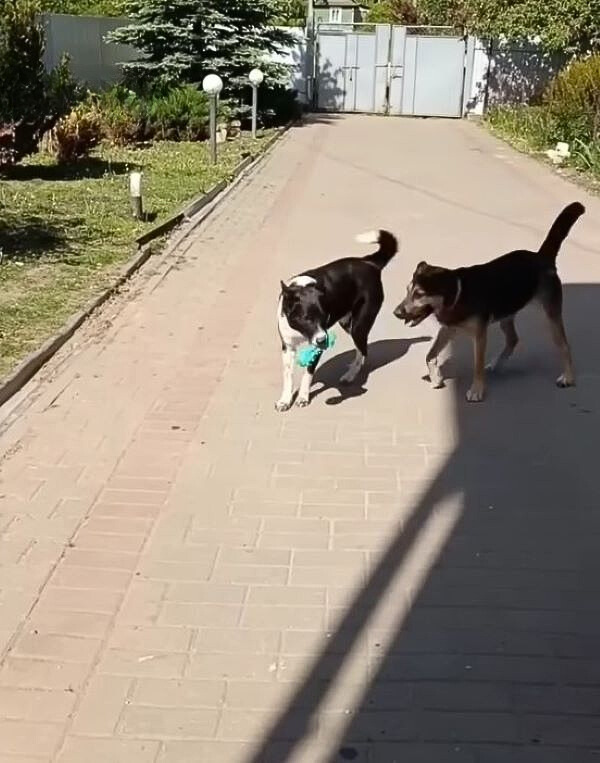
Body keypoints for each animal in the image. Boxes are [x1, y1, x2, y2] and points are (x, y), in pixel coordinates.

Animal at [276, 230, 398, 412]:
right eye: (306, 318)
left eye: (325, 316)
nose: (323, 340)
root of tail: (369, 263)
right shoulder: (288, 346)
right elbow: (287, 375)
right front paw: (285, 400)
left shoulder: (317, 345)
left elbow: (307, 373)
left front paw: (303, 397)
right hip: (347, 323)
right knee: (362, 348)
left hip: (358, 326)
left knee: (363, 348)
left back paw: (350, 375)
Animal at [394, 203, 584, 406]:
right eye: (407, 290)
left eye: (419, 294)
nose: (396, 312)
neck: (457, 293)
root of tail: (541, 257)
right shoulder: (449, 328)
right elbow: (429, 355)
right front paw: (436, 377)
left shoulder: (479, 335)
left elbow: (477, 366)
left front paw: (476, 390)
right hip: (506, 313)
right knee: (513, 339)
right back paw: (497, 363)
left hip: (550, 313)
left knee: (564, 345)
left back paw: (568, 377)